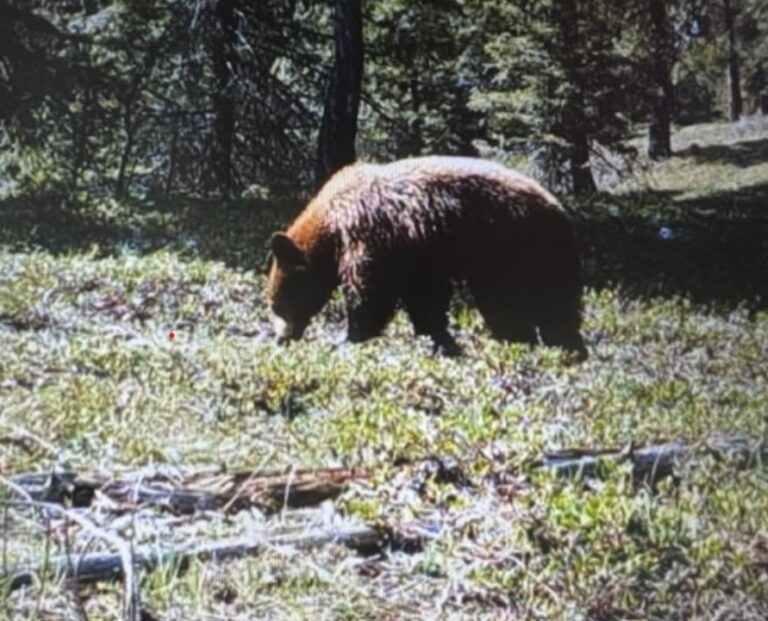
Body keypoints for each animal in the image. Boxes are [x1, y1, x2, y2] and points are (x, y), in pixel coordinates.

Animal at [266, 156, 587, 360]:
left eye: (276, 304)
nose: (281, 339)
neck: (330, 224)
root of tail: (563, 214)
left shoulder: (366, 235)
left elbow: (370, 293)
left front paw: (350, 336)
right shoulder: (418, 257)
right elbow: (425, 299)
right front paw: (438, 340)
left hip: (518, 250)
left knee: (534, 304)